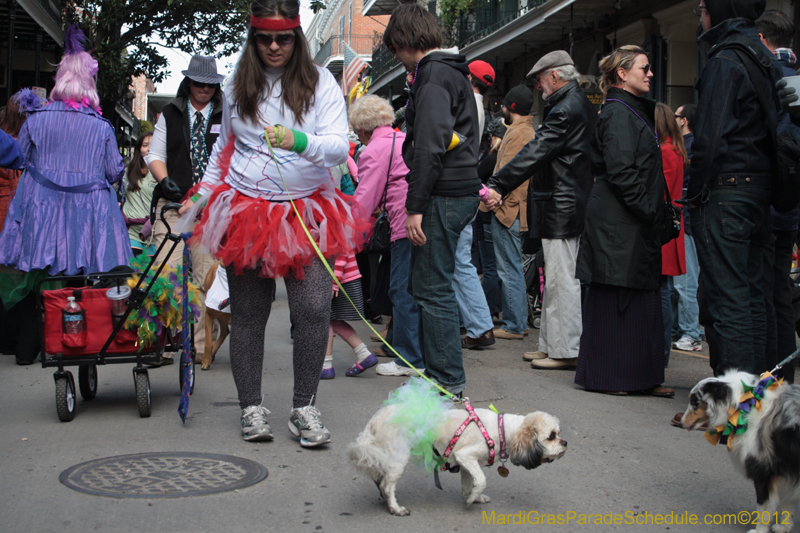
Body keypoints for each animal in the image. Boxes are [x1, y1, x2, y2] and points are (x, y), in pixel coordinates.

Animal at [350, 378, 568, 516]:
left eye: (558, 433)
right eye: (551, 436)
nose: (565, 443)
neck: (502, 430)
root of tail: (375, 420)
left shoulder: (465, 463)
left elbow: (469, 484)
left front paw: (472, 497)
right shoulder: (466, 456)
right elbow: (481, 480)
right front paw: (472, 499)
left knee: (380, 478)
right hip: (398, 456)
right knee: (387, 485)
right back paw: (395, 508)